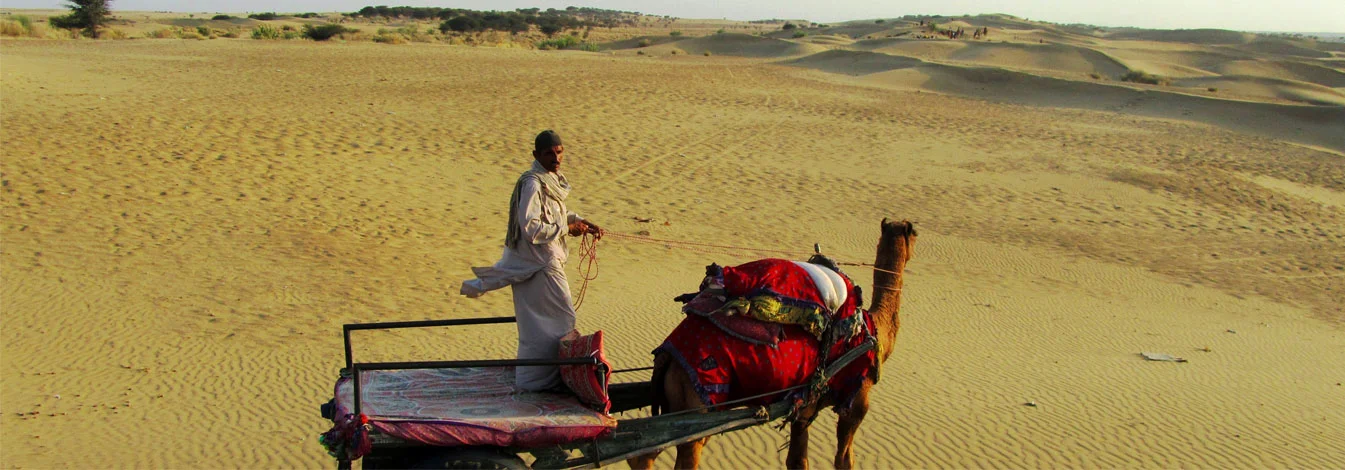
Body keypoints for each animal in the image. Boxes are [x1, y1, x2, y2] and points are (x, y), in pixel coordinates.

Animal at [628, 218, 916, 470]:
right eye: (915, 234)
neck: (875, 331)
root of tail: (667, 356)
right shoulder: (856, 401)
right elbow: (844, 460)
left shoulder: (804, 406)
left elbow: (797, 460)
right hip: (699, 407)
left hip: (675, 406)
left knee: (645, 455)